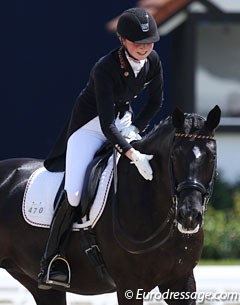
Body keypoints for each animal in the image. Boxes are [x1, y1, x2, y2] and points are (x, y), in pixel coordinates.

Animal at [0, 105, 221, 304]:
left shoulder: (181, 282)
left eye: (212, 156)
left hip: (41, 286)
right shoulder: (129, 285)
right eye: (174, 155)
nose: (189, 216)